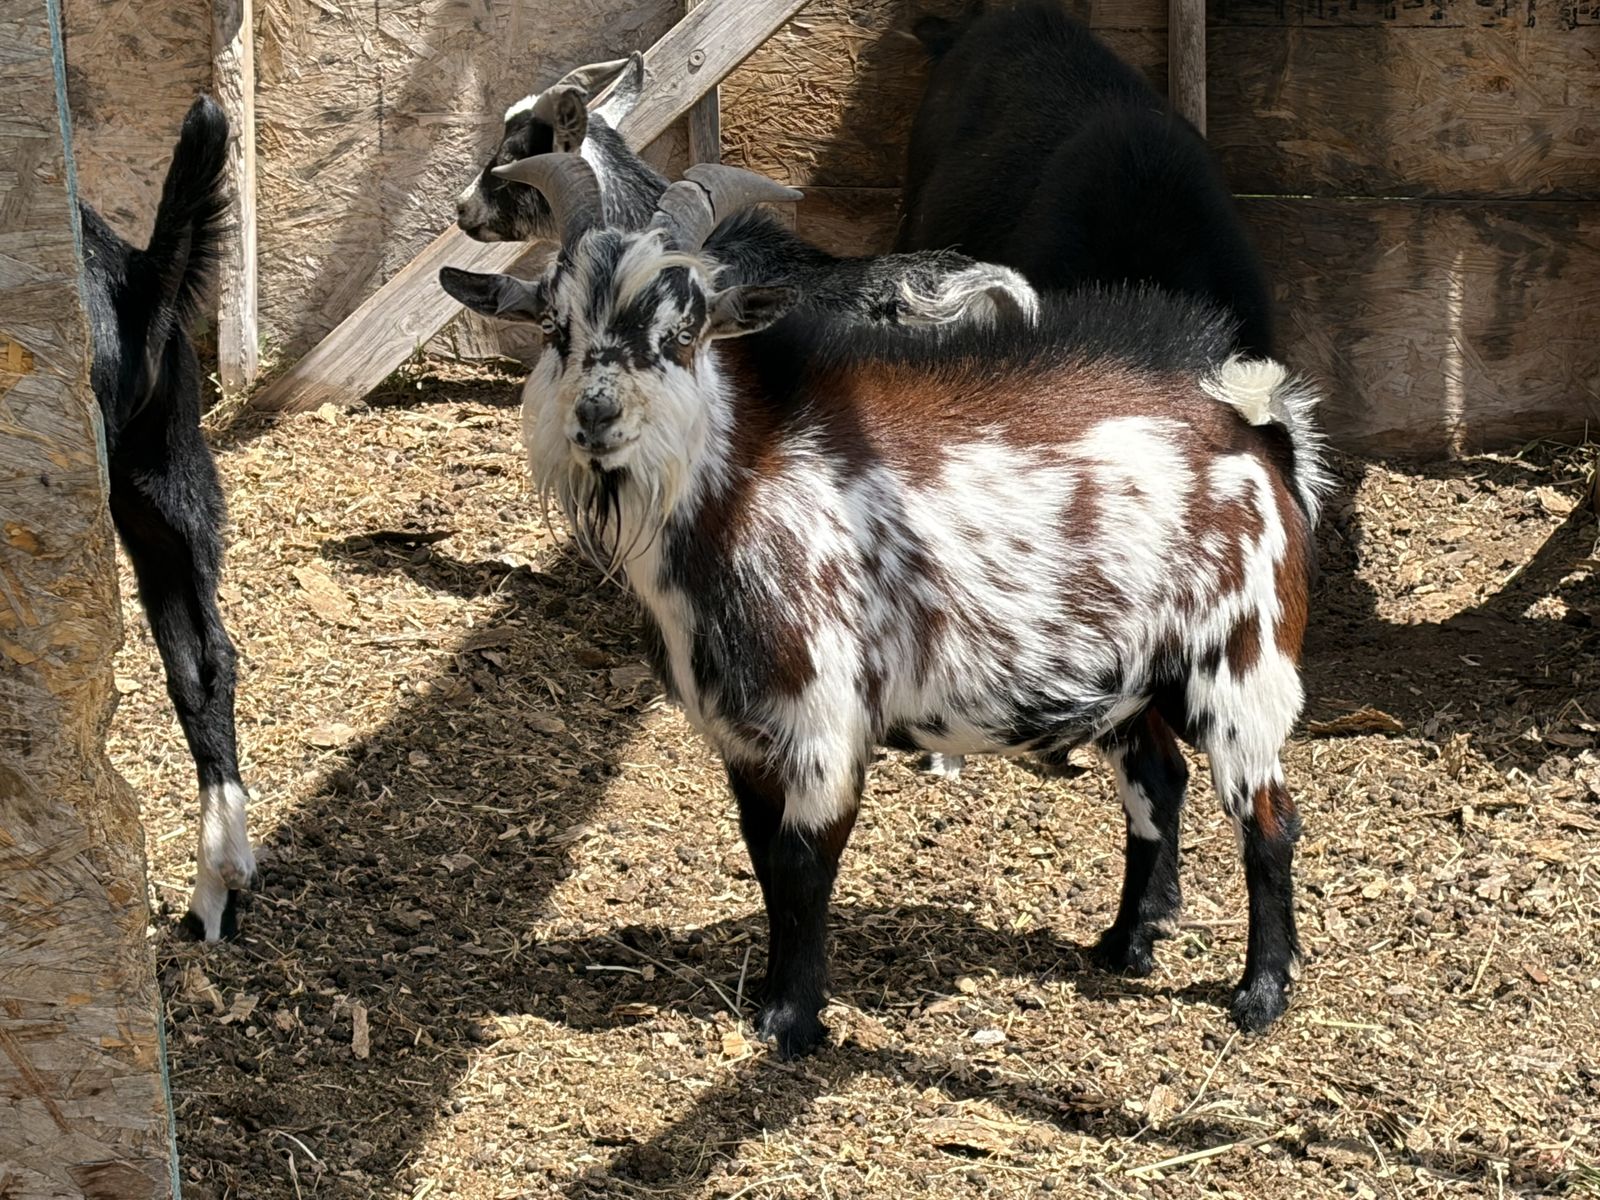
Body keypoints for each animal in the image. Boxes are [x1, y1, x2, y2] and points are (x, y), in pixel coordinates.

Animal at [439, 156, 1329, 1057]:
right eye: (556, 326)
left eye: (684, 333)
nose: (597, 414)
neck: (746, 485)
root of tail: (1254, 428)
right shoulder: (743, 735)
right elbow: (765, 862)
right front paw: (773, 1000)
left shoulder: (822, 720)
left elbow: (804, 865)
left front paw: (793, 1021)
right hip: (1129, 679)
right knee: (1157, 782)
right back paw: (1125, 944)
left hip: (1242, 661)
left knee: (1269, 820)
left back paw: (1260, 993)